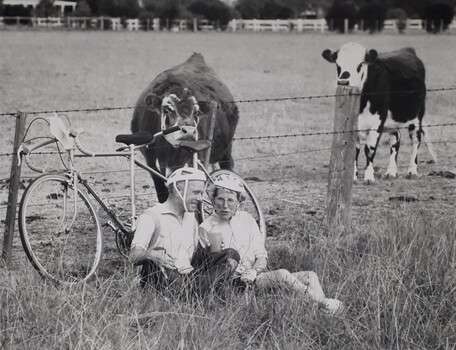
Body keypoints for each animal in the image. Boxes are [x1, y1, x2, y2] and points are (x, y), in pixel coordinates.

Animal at [131, 53, 239, 204]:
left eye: (197, 112)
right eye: (167, 109)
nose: (189, 131)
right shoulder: (151, 159)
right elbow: (161, 188)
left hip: (226, 150)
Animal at [320, 41, 434, 183]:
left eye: (360, 65)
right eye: (338, 65)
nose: (343, 82)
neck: (362, 104)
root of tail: (408, 50)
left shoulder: (377, 122)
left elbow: (369, 149)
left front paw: (369, 177)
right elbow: (355, 150)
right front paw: (353, 176)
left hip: (416, 117)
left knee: (416, 141)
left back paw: (412, 171)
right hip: (392, 122)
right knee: (395, 141)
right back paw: (391, 172)